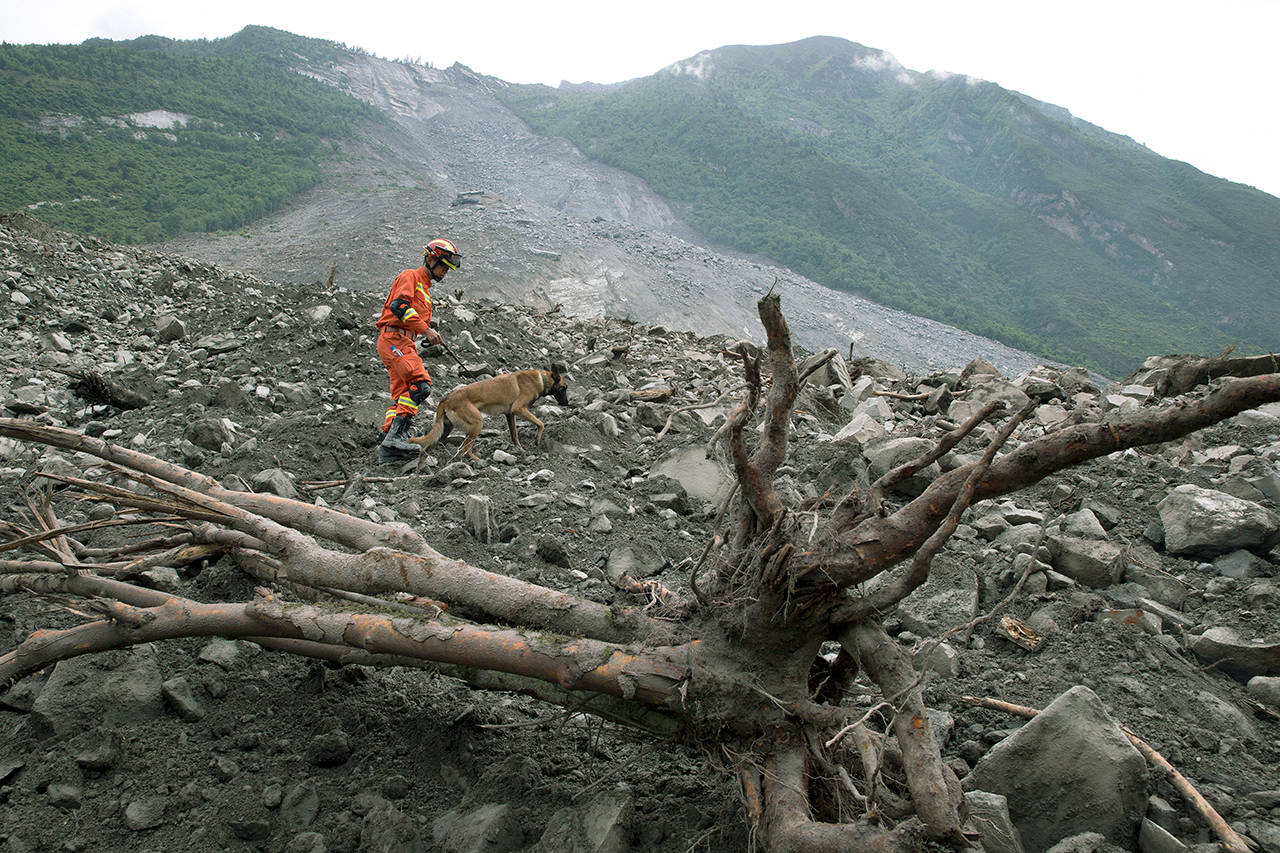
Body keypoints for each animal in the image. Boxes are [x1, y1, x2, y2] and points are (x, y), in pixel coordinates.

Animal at [409, 363, 570, 461]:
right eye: (564, 388)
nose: (567, 403)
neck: (541, 379)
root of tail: (446, 399)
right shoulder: (518, 408)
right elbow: (541, 423)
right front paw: (537, 439)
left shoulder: (510, 414)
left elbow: (514, 434)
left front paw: (519, 448)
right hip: (476, 424)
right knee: (465, 449)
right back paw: (477, 460)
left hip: (445, 431)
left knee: (426, 449)